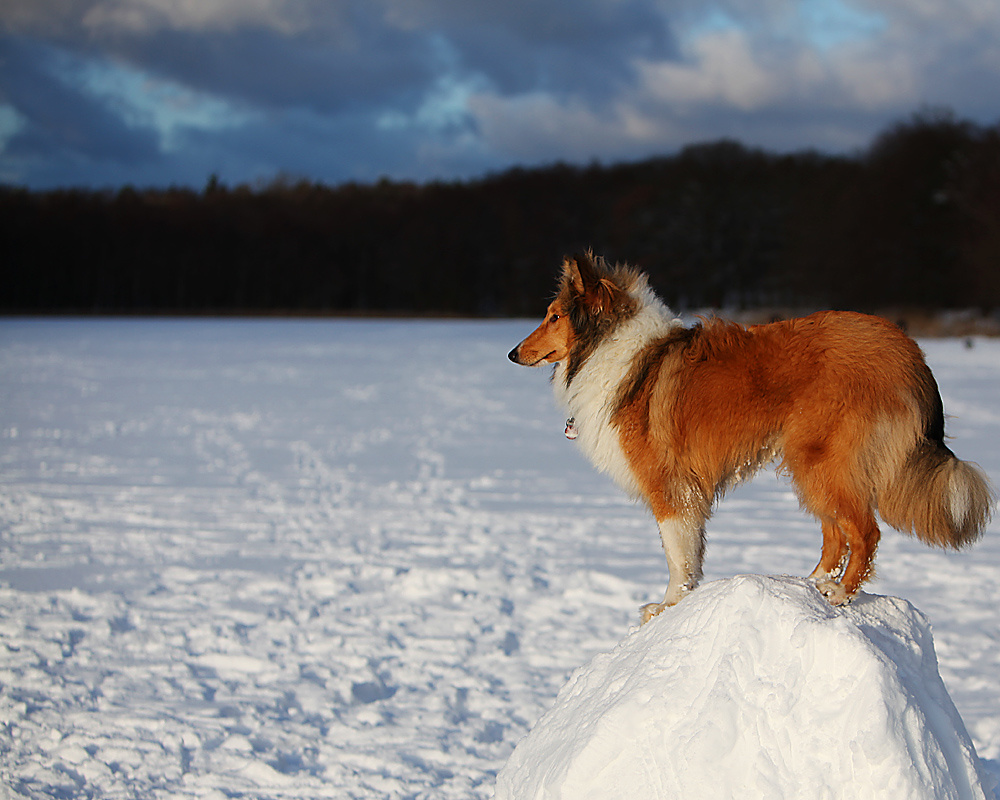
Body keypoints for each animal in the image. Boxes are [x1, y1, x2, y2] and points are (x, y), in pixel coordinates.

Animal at [512, 253, 996, 620]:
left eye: (554, 316)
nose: (513, 353)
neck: (612, 347)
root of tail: (910, 353)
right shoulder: (687, 490)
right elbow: (691, 554)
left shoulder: (669, 487)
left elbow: (677, 555)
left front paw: (666, 607)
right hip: (812, 462)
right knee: (836, 533)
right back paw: (812, 584)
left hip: (822, 459)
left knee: (865, 532)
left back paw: (841, 594)